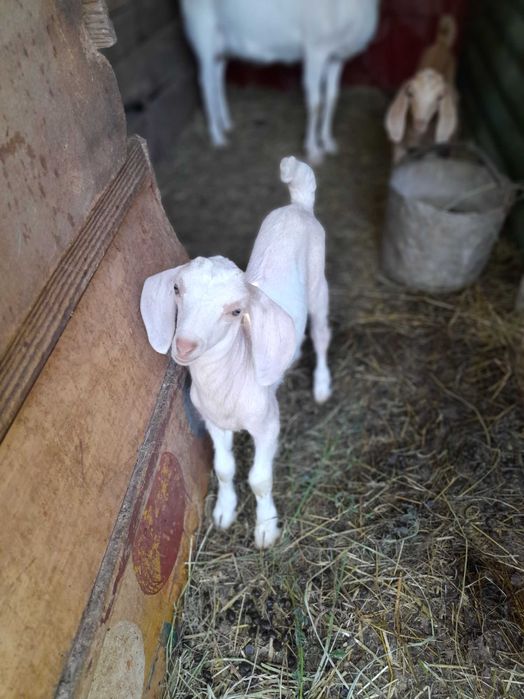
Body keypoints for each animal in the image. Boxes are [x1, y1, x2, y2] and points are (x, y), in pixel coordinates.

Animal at [140, 157, 331, 548]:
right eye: (177, 289)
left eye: (235, 311)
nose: (185, 345)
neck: (227, 384)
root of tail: (298, 205)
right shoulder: (213, 421)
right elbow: (224, 468)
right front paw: (224, 512)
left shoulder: (268, 423)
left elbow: (259, 478)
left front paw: (266, 528)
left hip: (319, 286)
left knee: (321, 334)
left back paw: (321, 385)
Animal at [180, 0, 380, 164]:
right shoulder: (316, 49)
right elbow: (316, 104)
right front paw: (313, 151)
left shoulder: (336, 57)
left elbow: (331, 98)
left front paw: (328, 142)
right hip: (203, 31)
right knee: (205, 81)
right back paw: (217, 137)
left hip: (221, 42)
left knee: (216, 79)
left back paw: (226, 123)